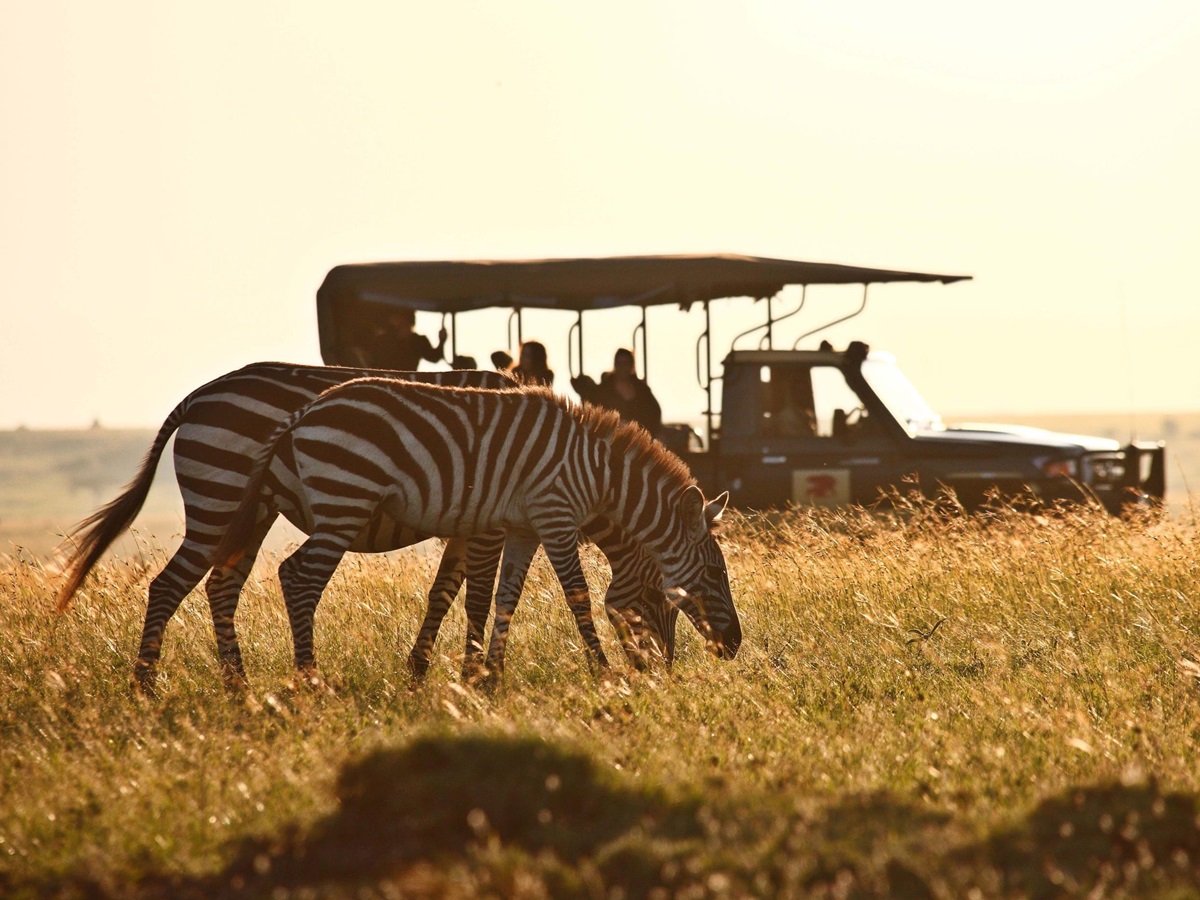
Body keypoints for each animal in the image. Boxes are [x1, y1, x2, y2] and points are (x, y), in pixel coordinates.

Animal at [55, 362, 677, 692]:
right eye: (662, 597)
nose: (664, 671)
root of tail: (198, 395)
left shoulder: (468, 521)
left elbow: (444, 592)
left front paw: (422, 671)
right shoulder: (488, 522)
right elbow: (476, 595)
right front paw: (469, 673)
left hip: (250, 513)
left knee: (219, 586)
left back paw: (239, 688)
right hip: (222, 497)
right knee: (171, 585)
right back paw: (148, 686)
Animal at [211, 377, 742, 680]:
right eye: (716, 575)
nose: (734, 646)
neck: (598, 474)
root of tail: (303, 412)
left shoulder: (524, 528)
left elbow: (507, 597)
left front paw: (492, 675)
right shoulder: (555, 516)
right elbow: (576, 595)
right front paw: (603, 672)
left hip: (294, 508)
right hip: (345, 501)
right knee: (298, 577)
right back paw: (309, 680)